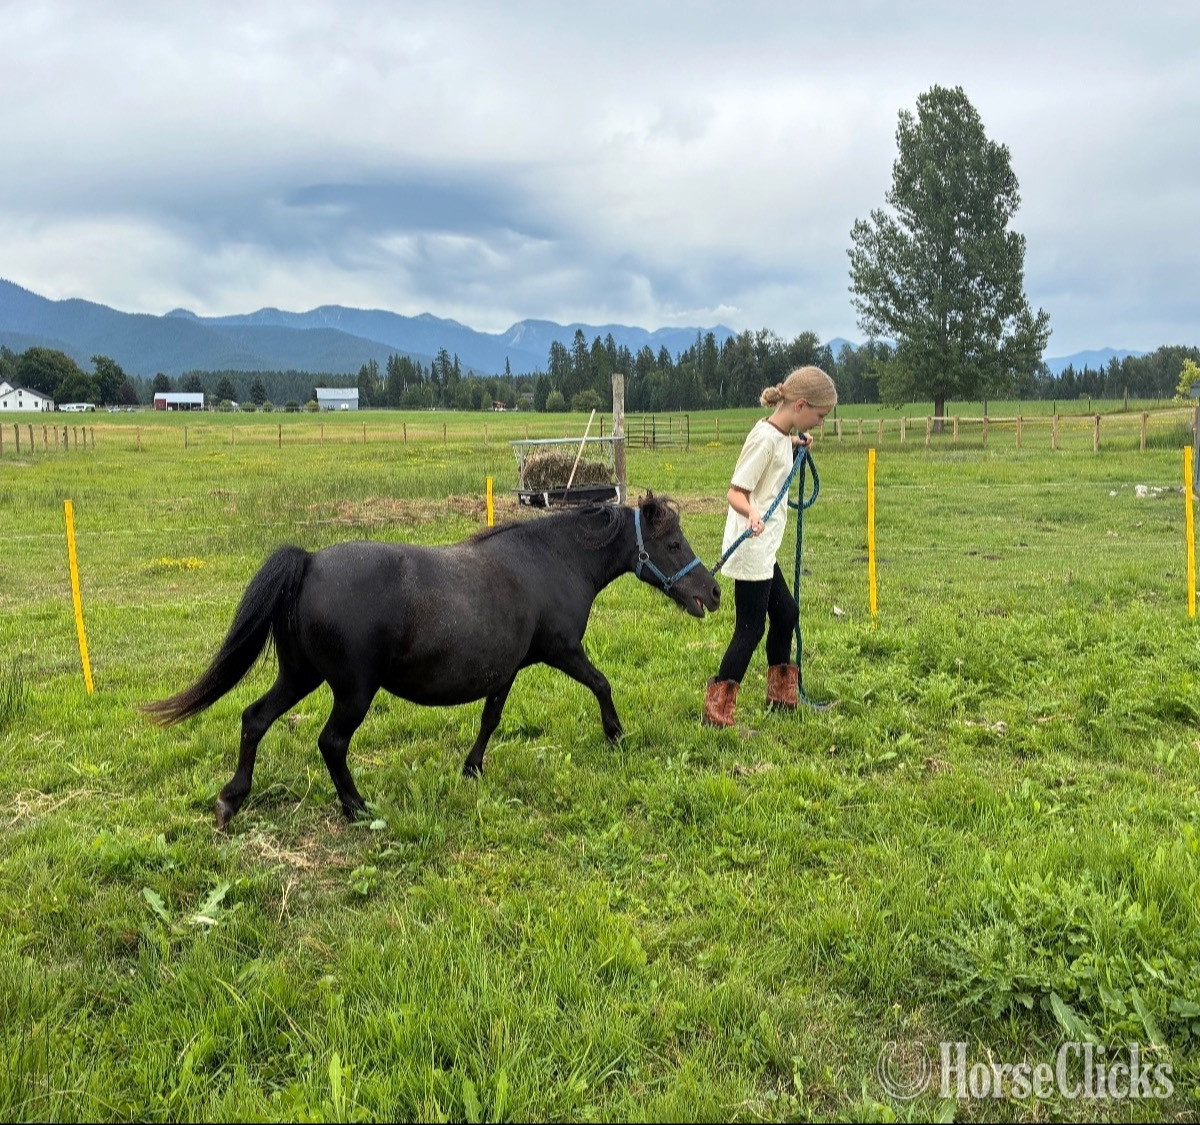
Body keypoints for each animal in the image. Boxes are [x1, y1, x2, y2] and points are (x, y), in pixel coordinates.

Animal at [142, 493, 721, 827]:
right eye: (672, 543)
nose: (713, 592)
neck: (550, 561)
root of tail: (308, 563)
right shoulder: (563, 651)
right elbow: (602, 683)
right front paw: (615, 734)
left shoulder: (506, 669)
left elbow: (491, 718)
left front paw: (472, 768)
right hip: (352, 690)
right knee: (330, 742)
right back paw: (356, 808)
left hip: (300, 675)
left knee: (255, 718)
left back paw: (231, 800)